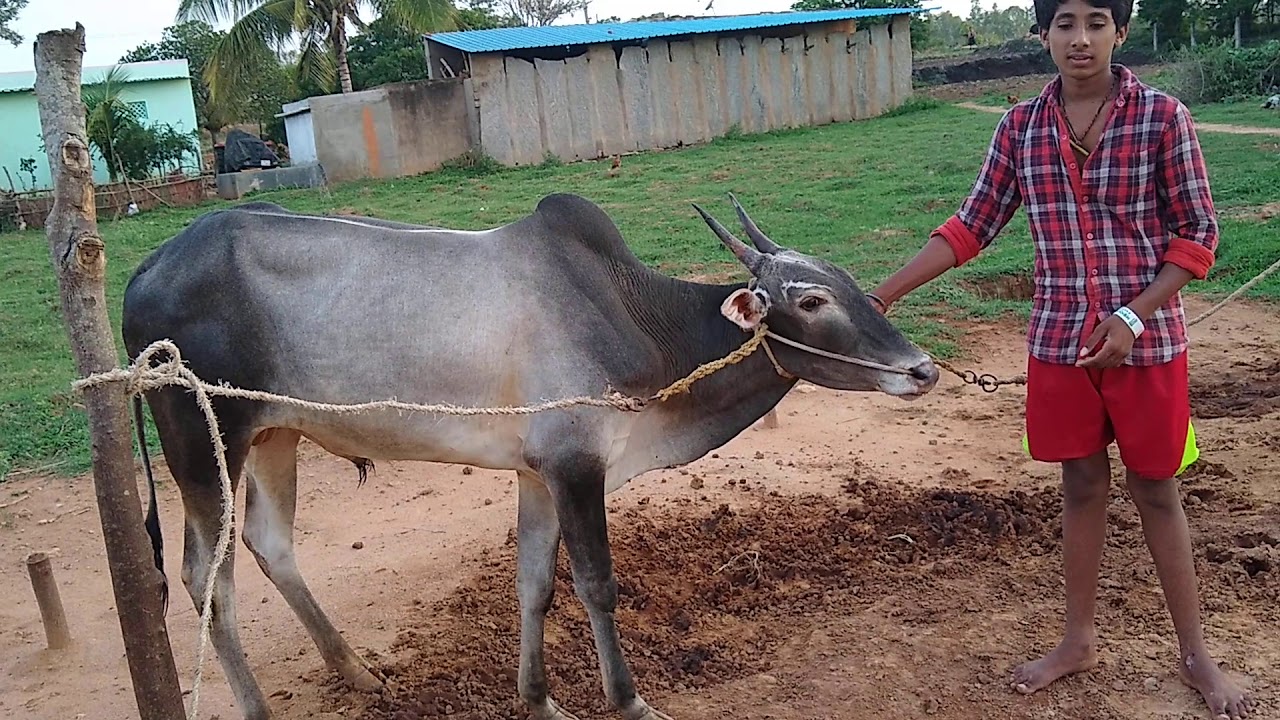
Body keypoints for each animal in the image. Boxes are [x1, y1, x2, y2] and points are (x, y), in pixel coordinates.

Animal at [120, 192, 939, 720]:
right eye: (809, 302)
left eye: (847, 284)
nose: (923, 369)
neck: (638, 321)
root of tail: (145, 269)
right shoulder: (578, 466)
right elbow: (598, 586)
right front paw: (630, 701)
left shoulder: (537, 474)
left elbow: (535, 586)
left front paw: (540, 699)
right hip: (205, 441)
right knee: (206, 576)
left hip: (275, 436)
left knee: (270, 545)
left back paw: (356, 671)